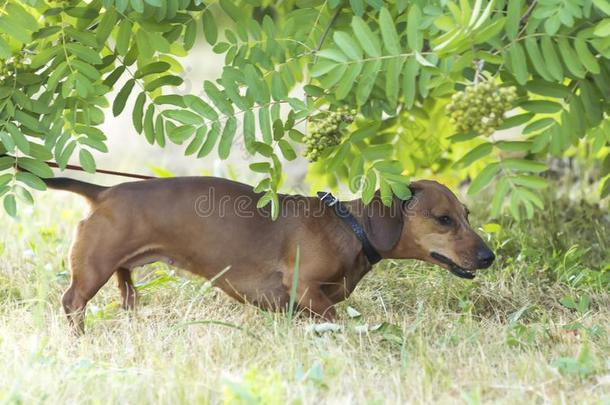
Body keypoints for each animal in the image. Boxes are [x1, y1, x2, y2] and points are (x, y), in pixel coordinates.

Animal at [42, 176, 492, 332]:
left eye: (466, 215)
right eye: (443, 219)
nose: (489, 257)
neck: (350, 227)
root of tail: (103, 191)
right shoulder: (306, 288)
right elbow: (334, 317)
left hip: (121, 269)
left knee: (126, 292)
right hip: (93, 269)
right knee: (72, 301)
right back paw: (79, 339)